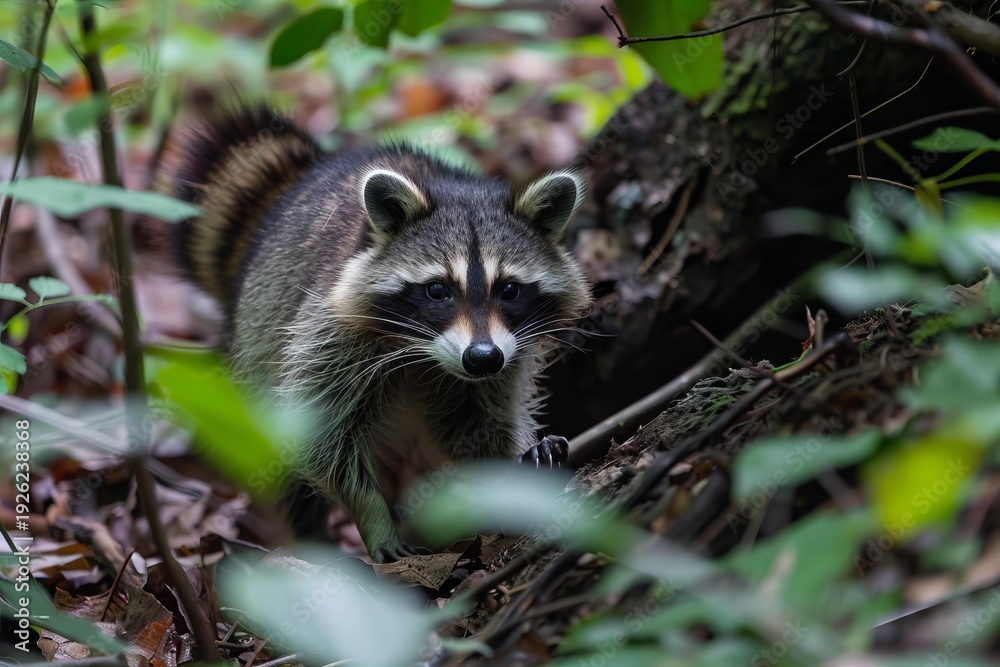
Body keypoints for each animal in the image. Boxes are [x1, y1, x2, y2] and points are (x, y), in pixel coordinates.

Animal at [157, 107, 591, 562]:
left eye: (509, 289)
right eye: (437, 289)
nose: (482, 358)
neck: (426, 353)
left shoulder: (504, 355)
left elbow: (474, 424)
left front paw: (511, 467)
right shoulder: (330, 332)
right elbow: (319, 434)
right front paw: (372, 513)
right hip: (260, 337)